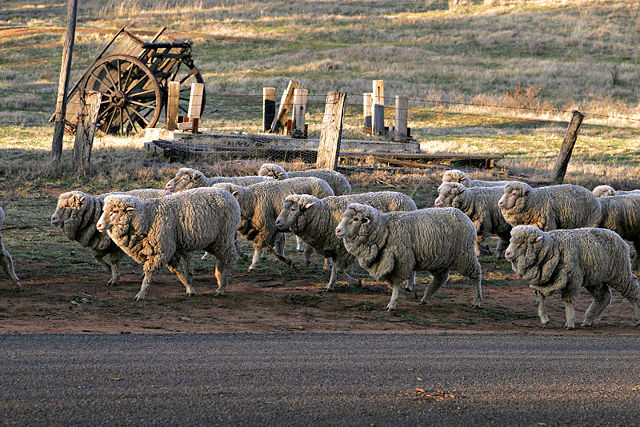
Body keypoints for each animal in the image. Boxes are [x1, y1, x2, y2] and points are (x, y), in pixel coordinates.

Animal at [96, 187, 240, 301]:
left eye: (115, 211)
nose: (98, 225)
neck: (146, 218)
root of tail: (231, 196)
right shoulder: (169, 250)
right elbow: (178, 271)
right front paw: (189, 288)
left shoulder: (162, 249)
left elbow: (149, 273)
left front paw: (141, 294)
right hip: (215, 241)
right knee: (222, 259)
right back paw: (220, 280)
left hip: (225, 236)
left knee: (230, 259)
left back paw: (222, 287)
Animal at [275, 192, 417, 290]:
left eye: (293, 209)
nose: (277, 222)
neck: (324, 215)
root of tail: (408, 199)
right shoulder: (334, 247)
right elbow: (334, 268)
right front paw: (330, 286)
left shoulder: (344, 250)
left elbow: (338, 269)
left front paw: (357, 283)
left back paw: (409, 285)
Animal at [335, 203, 482, 311]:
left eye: (355, 219)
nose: (337, 230)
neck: (384, 230)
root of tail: (463, 215)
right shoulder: (385, 263)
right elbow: (390, 283)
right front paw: (406, 295)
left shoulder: (401, 261)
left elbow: (395, 283)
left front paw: (392, 304)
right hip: (439, 259)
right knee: (441, 278)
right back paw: (425, 298)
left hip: (465, 255)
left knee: (475, 274)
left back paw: (477, 301)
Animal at [505, 225, 640, 329]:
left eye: (523, 242)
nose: (507, 253)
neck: (551, 248)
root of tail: (617, 235)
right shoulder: (541, 281)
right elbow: (540, 299)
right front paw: (544, 319)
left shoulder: (572, 279)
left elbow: (568, 301)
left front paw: (569, 323)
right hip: (594, 278)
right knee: (604, 296)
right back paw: (588, 320)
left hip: (620, 273)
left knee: (633, 290)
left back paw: (638, 318)